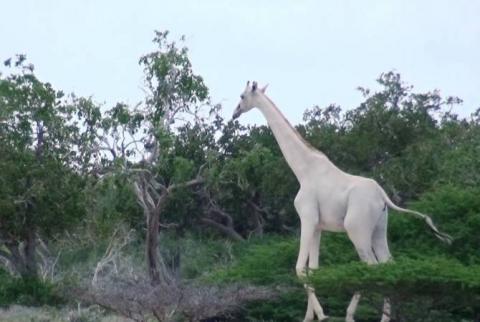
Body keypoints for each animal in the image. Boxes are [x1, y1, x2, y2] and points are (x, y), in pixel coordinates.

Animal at [232, 82, 450, 320]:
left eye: (242, 96)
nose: (235, 113)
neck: (303, 170)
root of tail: (382, 195)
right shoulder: (318, 226)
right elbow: (314, 270)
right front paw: (310, 317)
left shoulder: (307, 218)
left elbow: (300, 268)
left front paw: (321, 315)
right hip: (379, 229)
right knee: (387, 265)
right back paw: (384, 317)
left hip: (356, 229)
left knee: (370, 268)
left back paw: (350, 314)